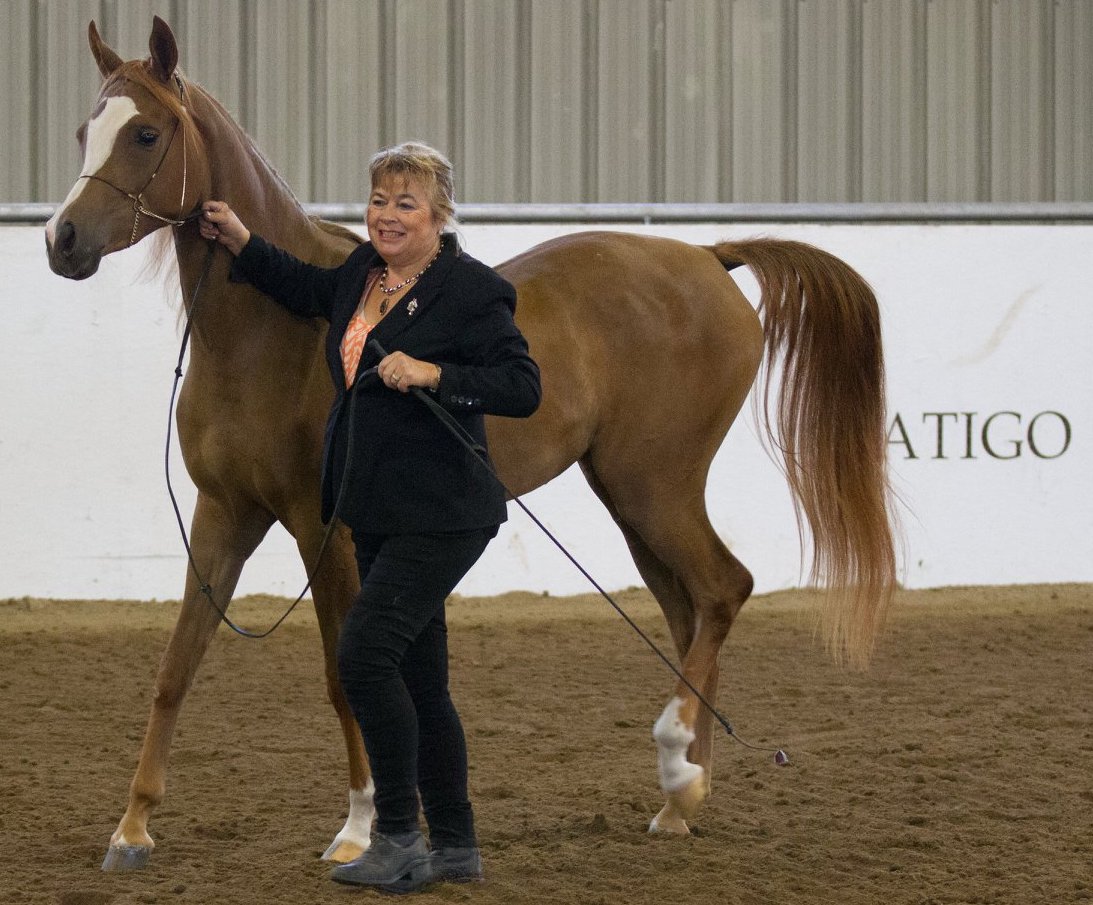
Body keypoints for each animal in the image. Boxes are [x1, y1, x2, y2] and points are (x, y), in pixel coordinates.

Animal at [45, 17, 896, 872]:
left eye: (146, 133)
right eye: (87, 131)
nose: (63, 239)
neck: (267, 335)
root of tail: (706, 258)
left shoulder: (325, 529)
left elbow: (340, 675)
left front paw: (357, 828)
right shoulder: (224, 513)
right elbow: (175, 667)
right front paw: (132, 827)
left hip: (655, 485)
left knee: (724, 588)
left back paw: (678, 766)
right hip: (632, 501)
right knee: (691, 613)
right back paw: (680, 798)